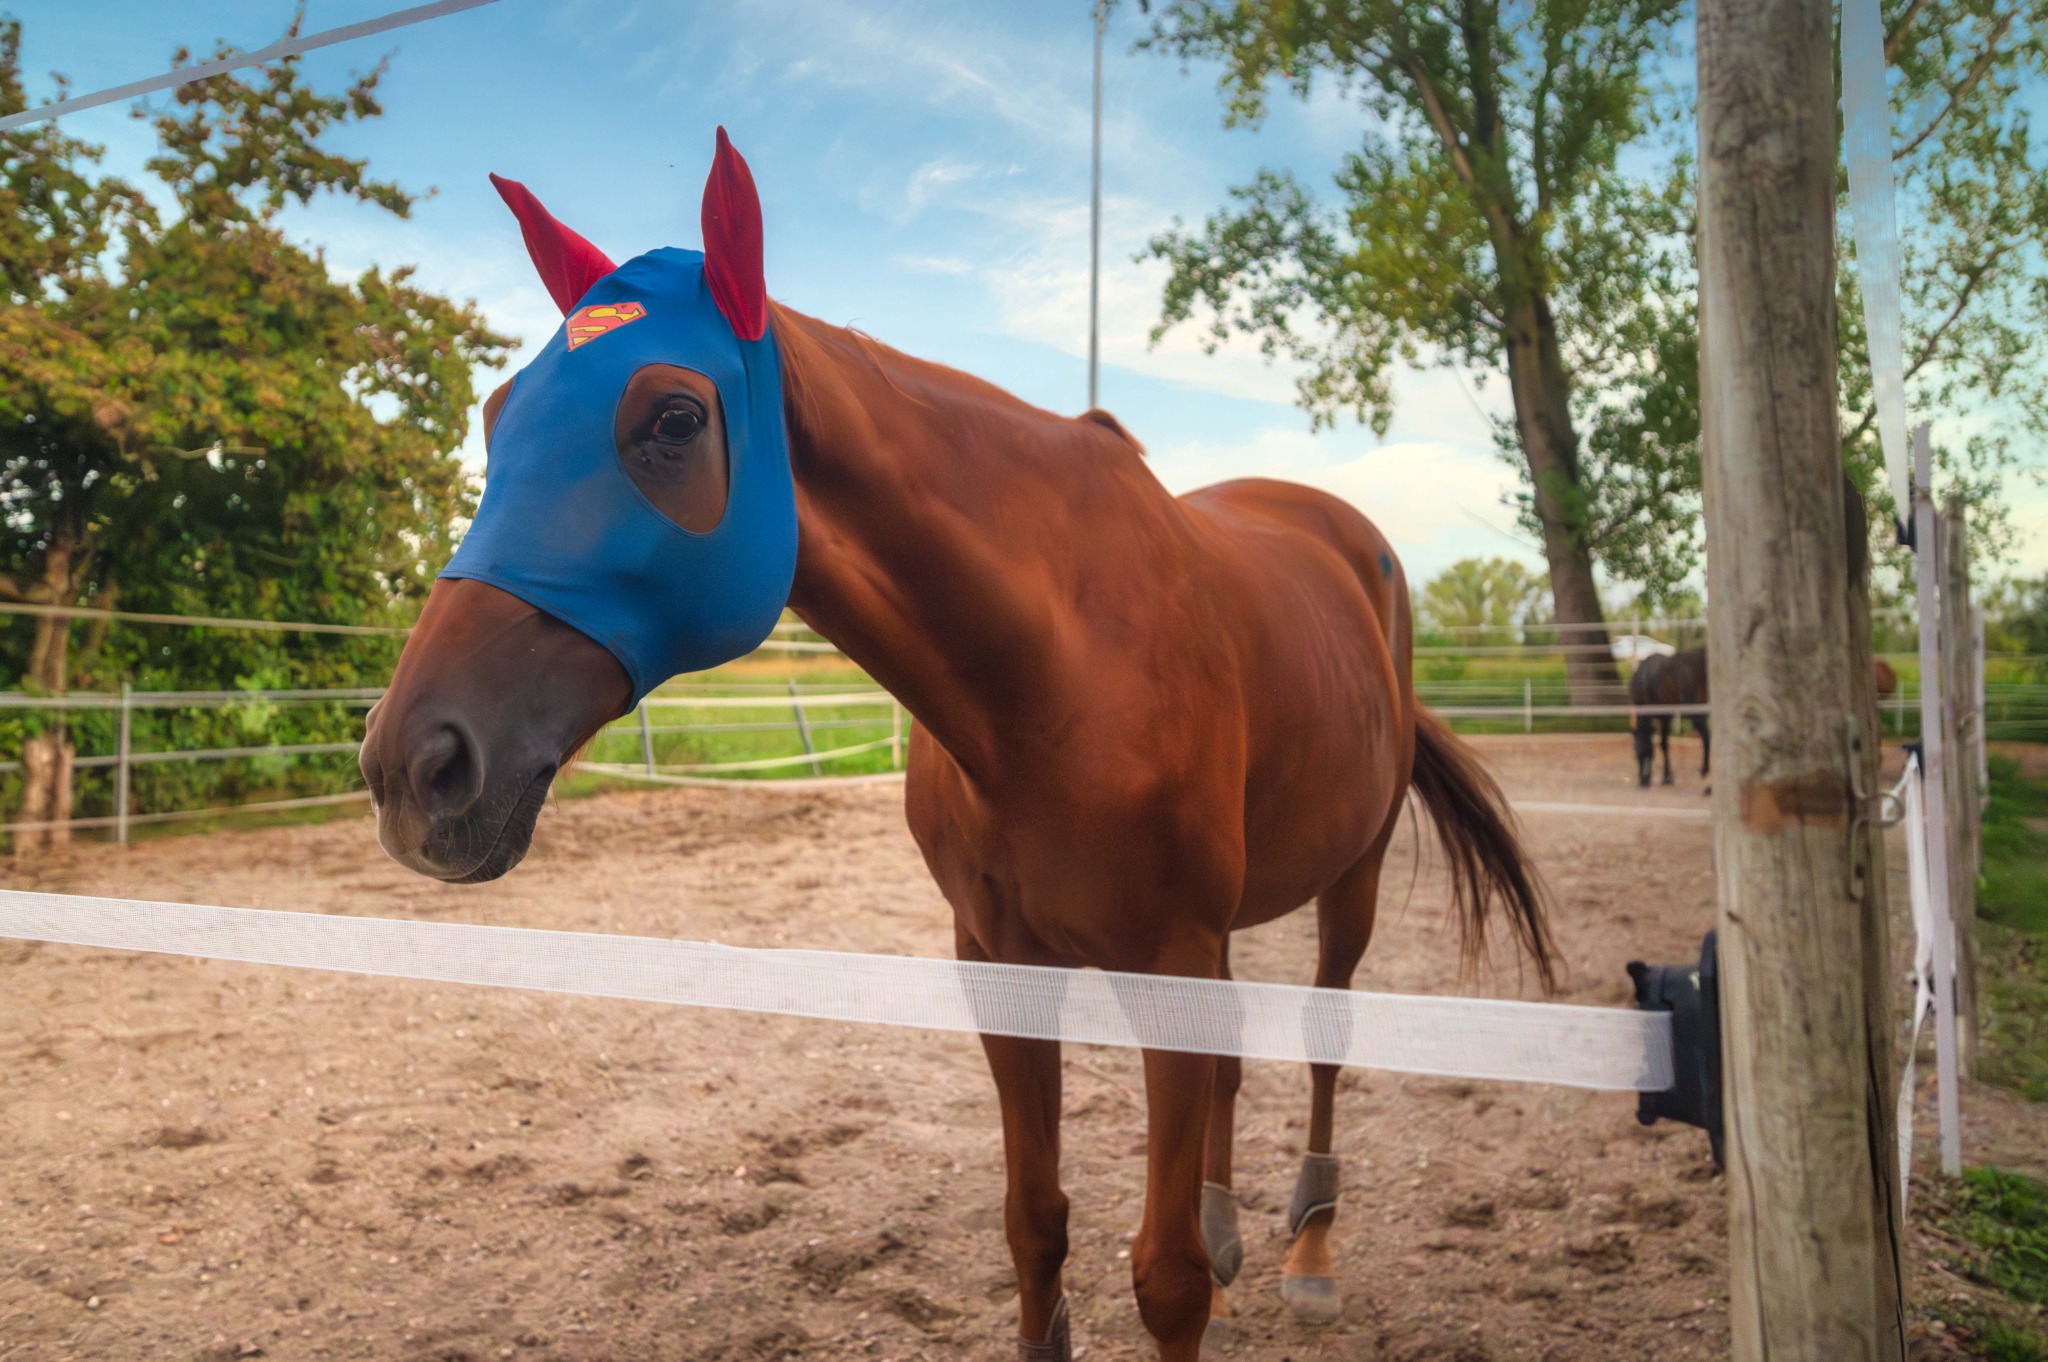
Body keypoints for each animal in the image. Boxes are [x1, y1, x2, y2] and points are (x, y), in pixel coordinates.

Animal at [358, 132, 1557, 1362]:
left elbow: (1164, 1274)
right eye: (499, 414)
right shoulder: (999, 962)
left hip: (1349, 875)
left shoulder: (1166, 954)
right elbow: (1035, 1223)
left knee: (1325, 1035)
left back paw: (1307, 1255)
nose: (412, 766)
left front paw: (1206, 1273)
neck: (1050, 677)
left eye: (674, 418)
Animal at [1628, 647, 1710, 787]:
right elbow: (1664, 744)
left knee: (1706, 735)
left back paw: (1703, 770)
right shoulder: (1665, 718)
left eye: (1637, 752)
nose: (1643, 781)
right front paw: (1667, 776)